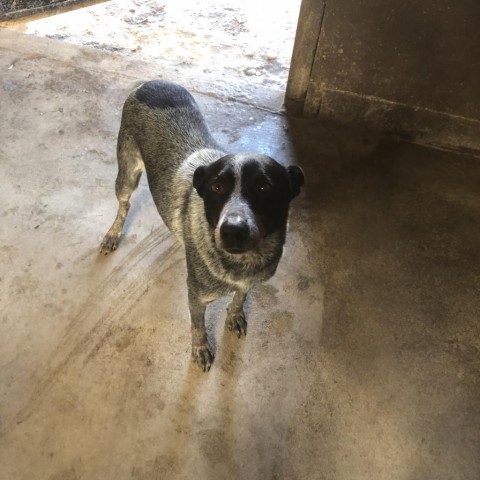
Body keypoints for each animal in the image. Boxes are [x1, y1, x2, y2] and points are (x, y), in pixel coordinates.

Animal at [100, 80, 304, 372]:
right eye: (216, 187)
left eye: (264, 187)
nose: (232, 231)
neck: (243, 263)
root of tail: (150, 83)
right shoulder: (196, 296)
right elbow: (198, 326)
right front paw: (201, 349)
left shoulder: (249, 282)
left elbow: (240, 297)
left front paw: (235, 314)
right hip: (127, 173)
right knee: (123, 205)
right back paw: (113, 234)